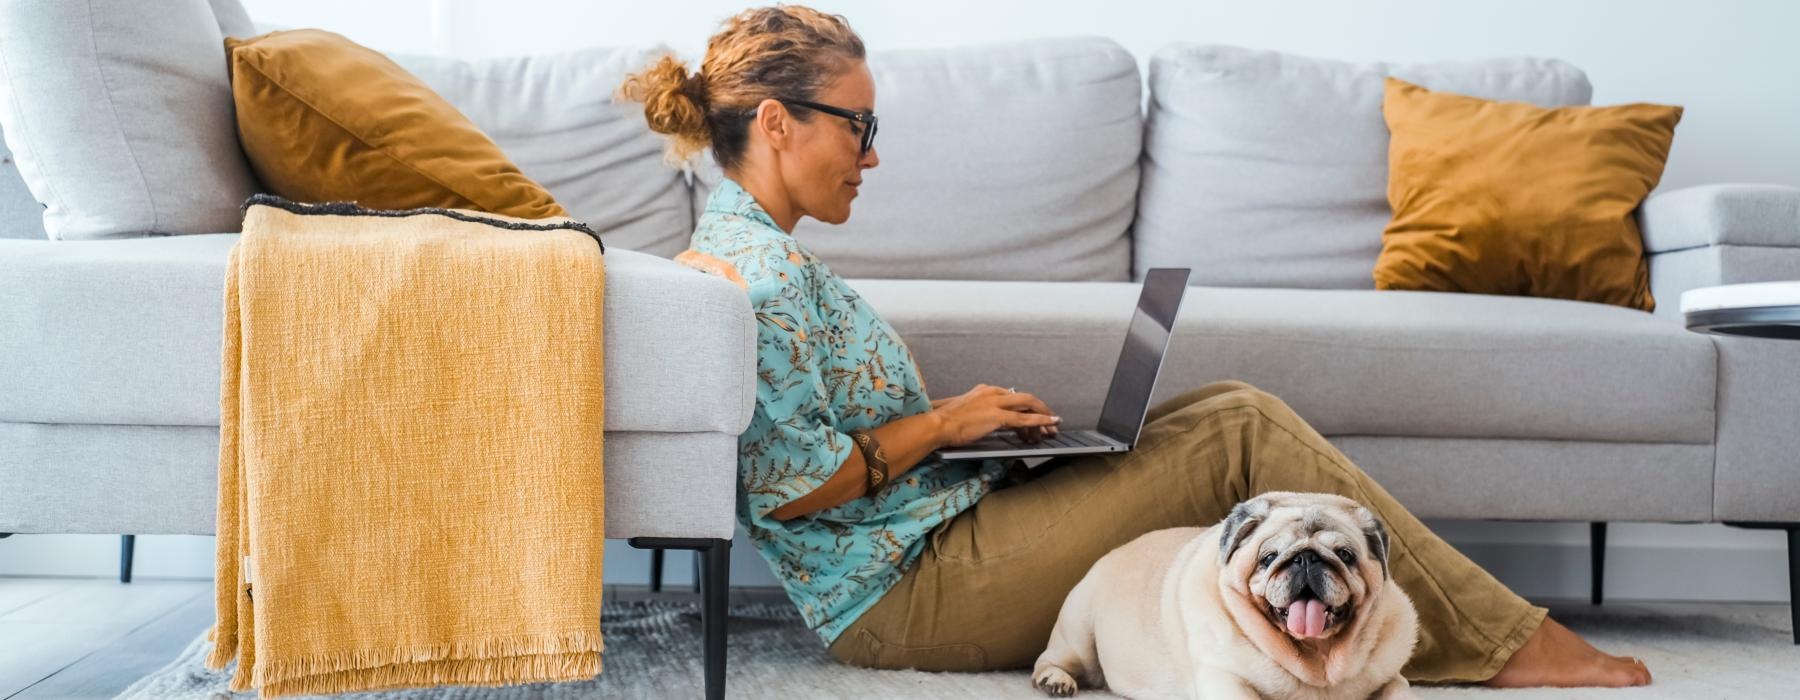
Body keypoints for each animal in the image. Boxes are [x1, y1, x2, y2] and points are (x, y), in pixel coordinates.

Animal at [1036, 489, 1411, 698]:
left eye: (1345, 556)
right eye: (1268, 558)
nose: (1306, 558)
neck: (1317, 664)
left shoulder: (1392, 678)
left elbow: (1400, 689)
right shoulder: (1224, 678)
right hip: (1078, 635)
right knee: (1052, 659)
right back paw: (1054, 681)